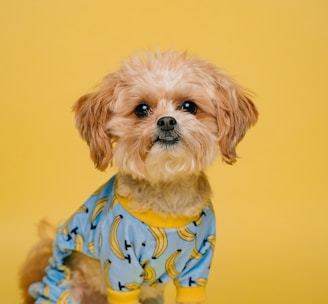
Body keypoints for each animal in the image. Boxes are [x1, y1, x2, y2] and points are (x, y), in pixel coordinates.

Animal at [20, 50, 258, 304]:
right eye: (141, 109)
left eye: (189, 106)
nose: (166, 121)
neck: (167, 192)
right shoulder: (121, 273)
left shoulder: (197, 269)